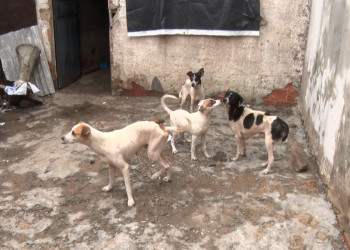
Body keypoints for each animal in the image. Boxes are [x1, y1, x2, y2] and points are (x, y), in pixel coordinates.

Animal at [61, 119, 190, 207]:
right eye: (71, 130)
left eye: (73, 133)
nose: (62, 137)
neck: (102, 142)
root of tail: (161, 127)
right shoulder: (111, 166)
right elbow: (111, 179)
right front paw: (109, 188)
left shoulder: (125, 167)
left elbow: (128, 187)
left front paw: (130, 201)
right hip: (157, 153)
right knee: (169, 164)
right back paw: (168, 178)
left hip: (152, 154)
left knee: (166, 165)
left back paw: (155, 175)